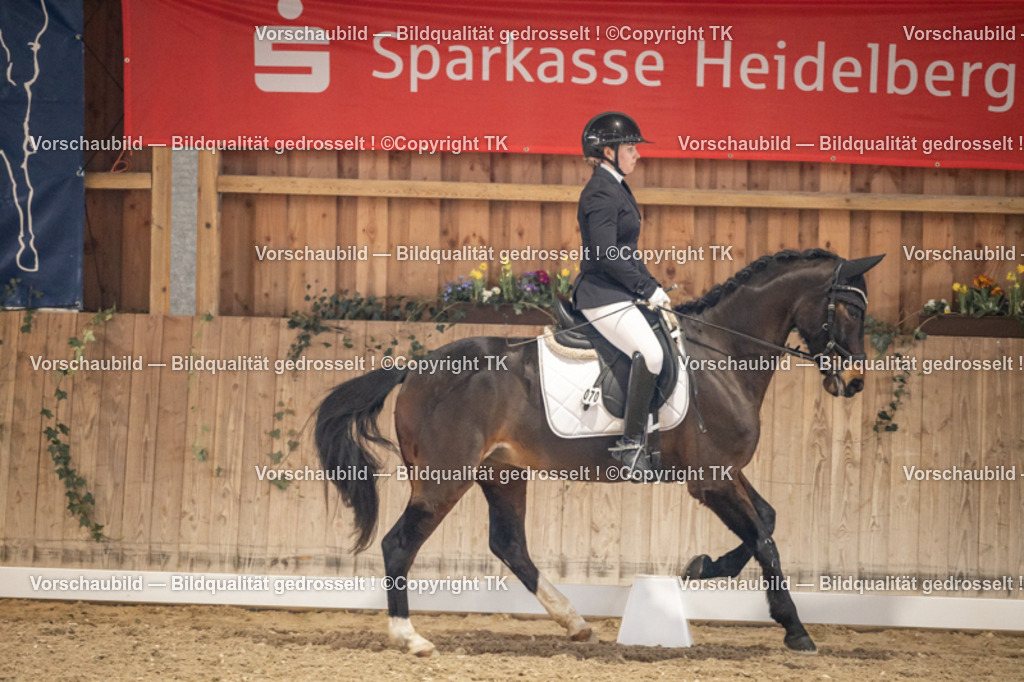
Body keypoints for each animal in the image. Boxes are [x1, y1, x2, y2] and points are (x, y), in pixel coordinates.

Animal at [314, 248, 883, 656]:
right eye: (850, 308)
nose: (855, 381)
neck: (724, 356)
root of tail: (414, 368)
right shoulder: (712, 479)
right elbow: (764, 538)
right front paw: (796, 630)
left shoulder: (724, 474)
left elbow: (766, 520)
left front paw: (702, 567)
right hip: (443, 479)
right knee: (398, 545)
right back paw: (411, 638)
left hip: (502, 473)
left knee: (510, 545)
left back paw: (574, 622)